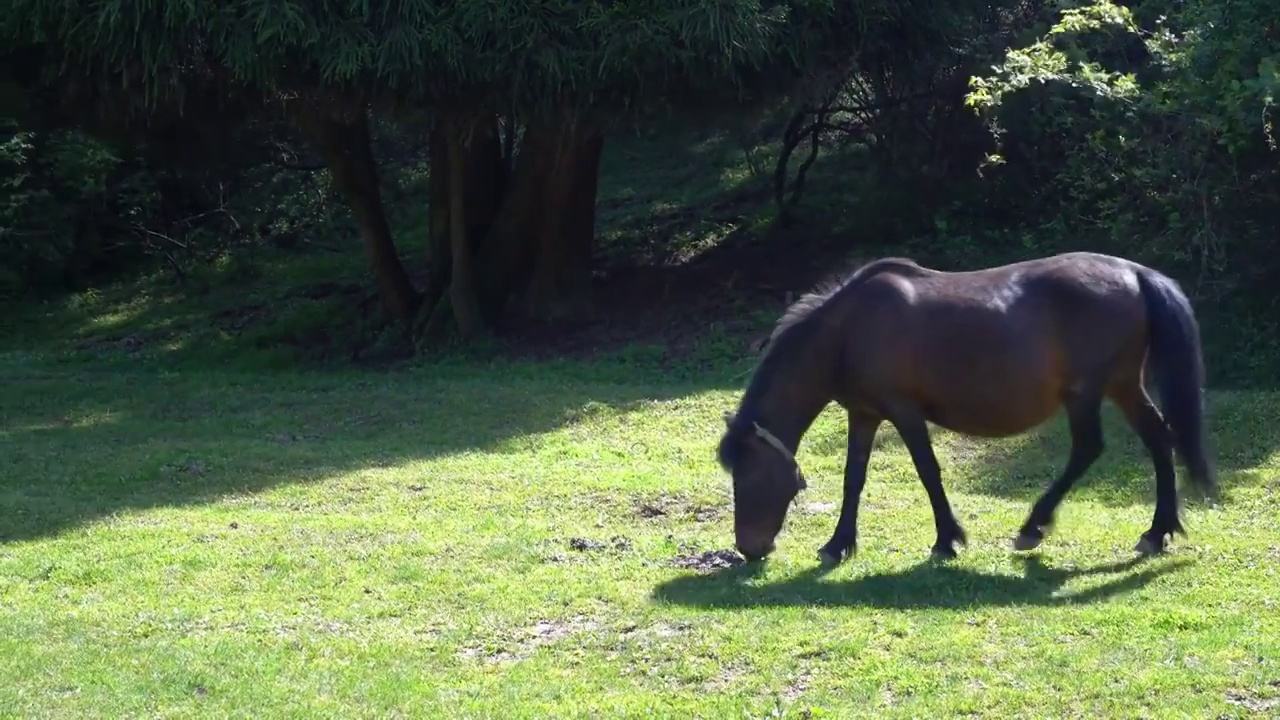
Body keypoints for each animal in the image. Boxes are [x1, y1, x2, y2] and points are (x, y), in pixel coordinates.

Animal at [721, 251, 1218, 561]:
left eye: (748, 475)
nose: (750, 548)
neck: (848, 330)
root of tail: (1135, 273)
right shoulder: (864, 415)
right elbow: (853, 479)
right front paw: (837, 545)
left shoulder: (904, 412)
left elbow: (928, 471)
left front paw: (947, 539)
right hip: (1122, 386)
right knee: (1159, 438)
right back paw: (1157, 532)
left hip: (1087, 393)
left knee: (1089, 449)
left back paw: (1033, 527)